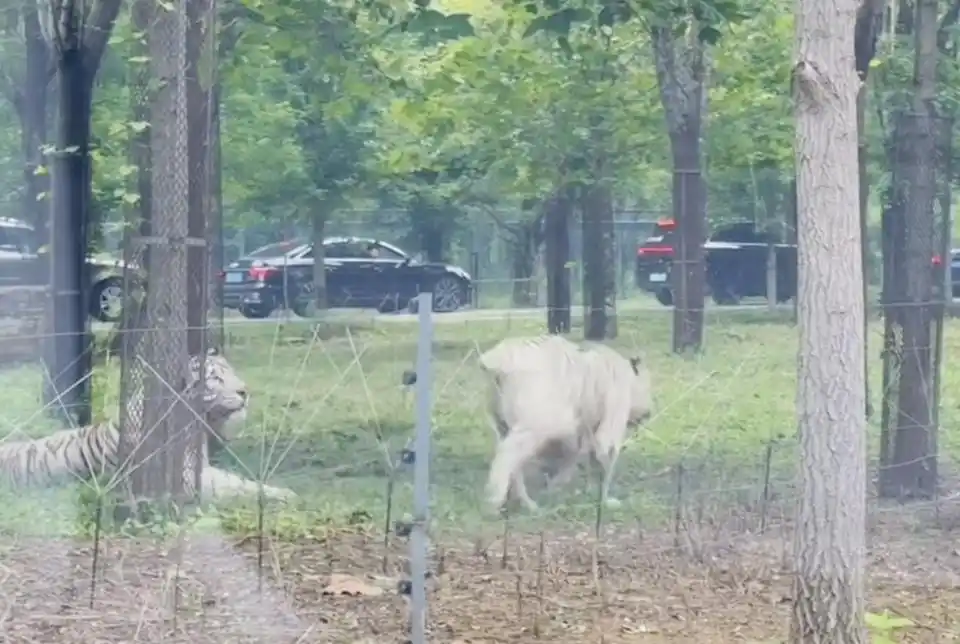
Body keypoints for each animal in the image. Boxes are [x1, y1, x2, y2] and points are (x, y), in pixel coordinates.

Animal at [0, 349, 296, 503]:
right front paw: (286, 495)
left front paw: (283, 491)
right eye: (215, 378)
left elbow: (239, 479)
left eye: (231, 371)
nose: (245, 391)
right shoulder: (184, 479)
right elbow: (234, 486)